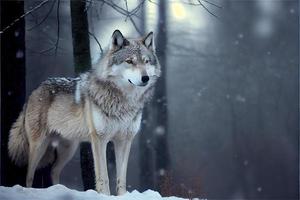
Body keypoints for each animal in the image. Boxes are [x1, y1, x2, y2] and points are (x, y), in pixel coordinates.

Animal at [8, 29, 161, 195]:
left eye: (146, 62)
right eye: (129, 61)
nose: (145, 78)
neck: (124, 102)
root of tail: (35, 91)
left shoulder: (125, 140)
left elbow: (122, 179)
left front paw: (122, 196)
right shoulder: (99, 139)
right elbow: (103, 176)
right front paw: (105, 195)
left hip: (68, 148)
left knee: (54, 170)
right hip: (39, 146)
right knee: (29, 175)